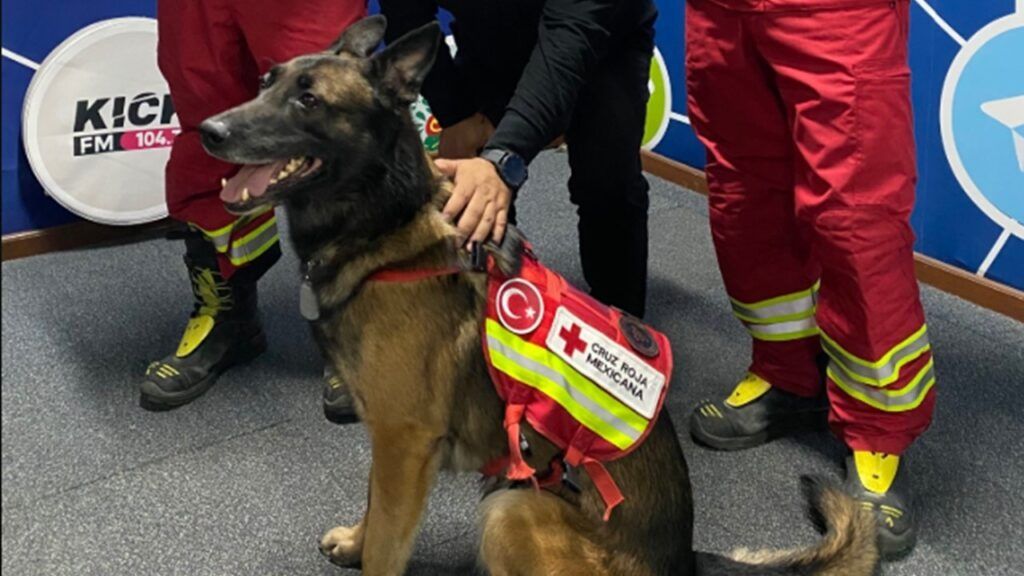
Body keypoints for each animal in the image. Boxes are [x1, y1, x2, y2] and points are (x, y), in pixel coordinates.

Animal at [199, 14, 880, 573]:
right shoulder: (390, 441)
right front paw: (356, 539)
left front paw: (369, 550)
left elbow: (388, 549)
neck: (385, 224)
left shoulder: (405, 442)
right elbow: (373, 505)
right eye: (265, 81)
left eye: (309, 100)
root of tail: (684, 561)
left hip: (513, 511)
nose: (208, 130)